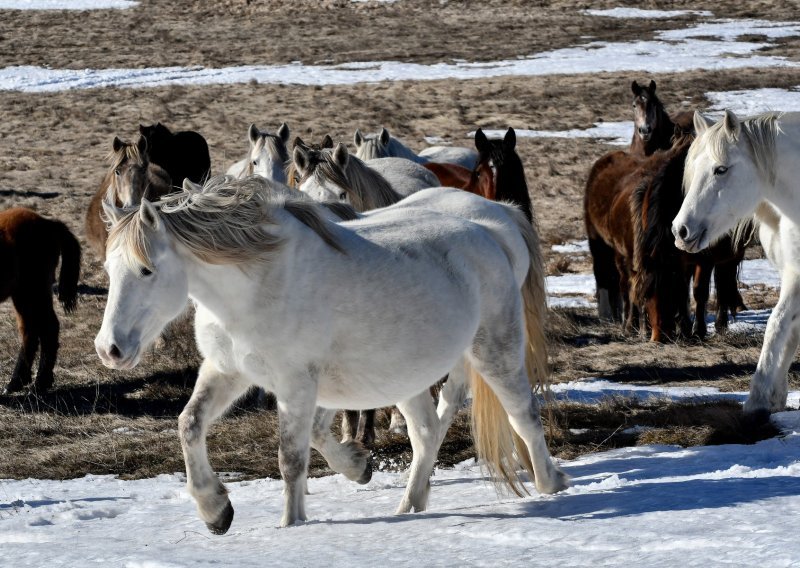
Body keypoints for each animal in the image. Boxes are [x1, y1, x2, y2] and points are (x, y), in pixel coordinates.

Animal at [0, 207, 80, 394]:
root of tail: (48, 223)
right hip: (24, 296)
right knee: (31, 330)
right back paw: (17, 382)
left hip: (33, 292)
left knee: (47, 328)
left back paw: (39, 384)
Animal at [94, 175, 568, 532]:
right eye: (108, 269)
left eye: (146, 269)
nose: (109, 349)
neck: (255, 286)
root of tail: (492, 229)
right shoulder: (227, 372)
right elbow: (189, 424)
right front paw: (215, 511)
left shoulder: (296, 385)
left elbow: (290, 457)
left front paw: (292, 524)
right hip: (407, 377)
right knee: (426, 433)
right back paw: (410, 506)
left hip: (494, 351)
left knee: (521, 415)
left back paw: (551, 484)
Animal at [672, 108, 796, 418]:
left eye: (721, 169)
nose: (680, 230)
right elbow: (787, 330)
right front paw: (773, 397)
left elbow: (777, 324)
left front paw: (758, 398)